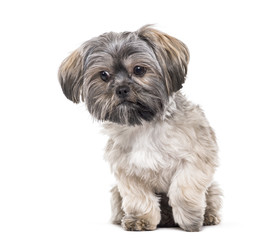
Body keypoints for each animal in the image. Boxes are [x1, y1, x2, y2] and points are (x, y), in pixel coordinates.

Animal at [59, 25, 224, 232]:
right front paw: (141, 219)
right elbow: (139, 197)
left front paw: (190, 220)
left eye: (139, 70)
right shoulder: (128, 171)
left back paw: (207, 216)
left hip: (213, 189)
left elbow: (182, 188)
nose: (121, 89)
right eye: (103, 75)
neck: (144, 125)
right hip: (115, 194)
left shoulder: (196, 157)